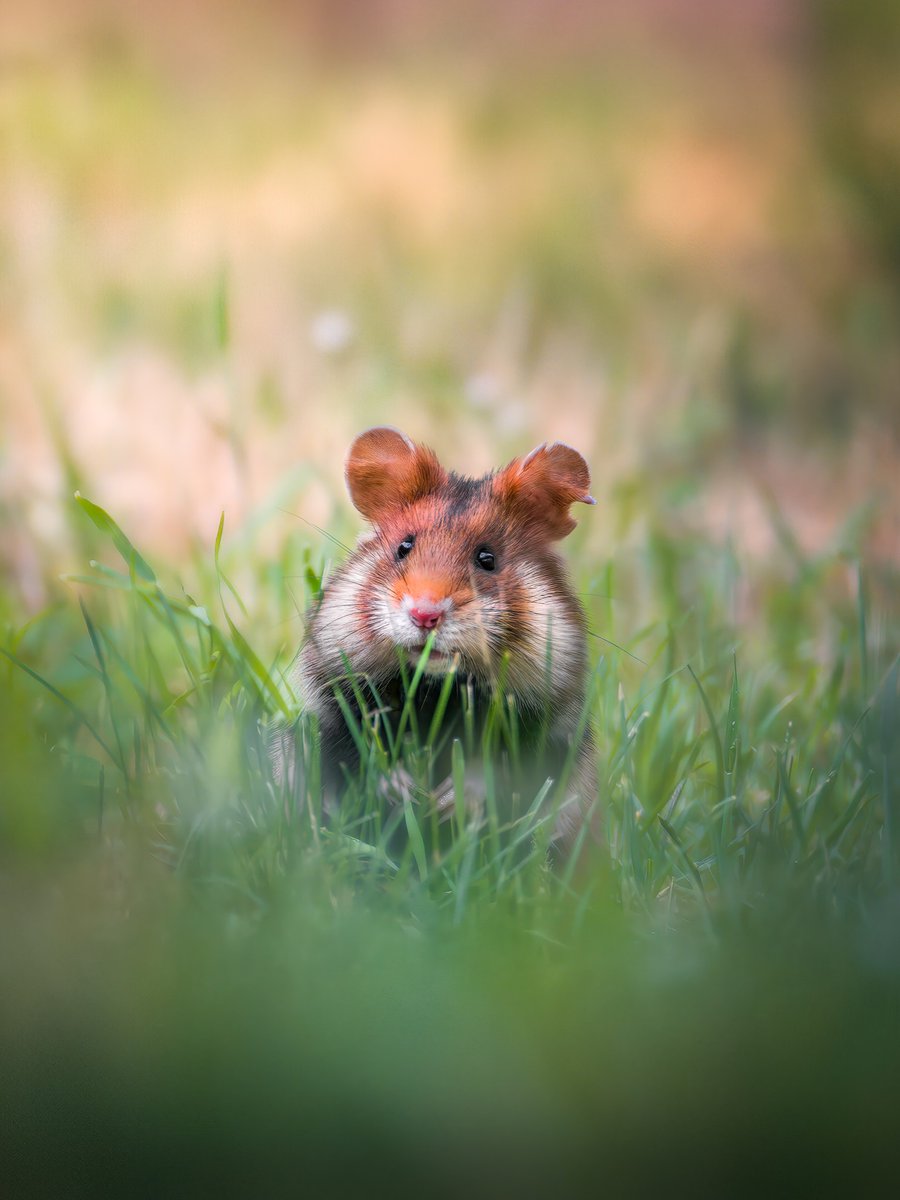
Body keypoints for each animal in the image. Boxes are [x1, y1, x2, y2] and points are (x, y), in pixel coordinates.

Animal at [275, 425, 598, 853]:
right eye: (403, 547)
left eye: (487, 559)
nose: (424, 615)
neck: (434, 686)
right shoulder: (336, 705)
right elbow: (361, 752)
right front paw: (404, 791)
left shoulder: (542, 726)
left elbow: (499, 770)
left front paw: (447, 801)